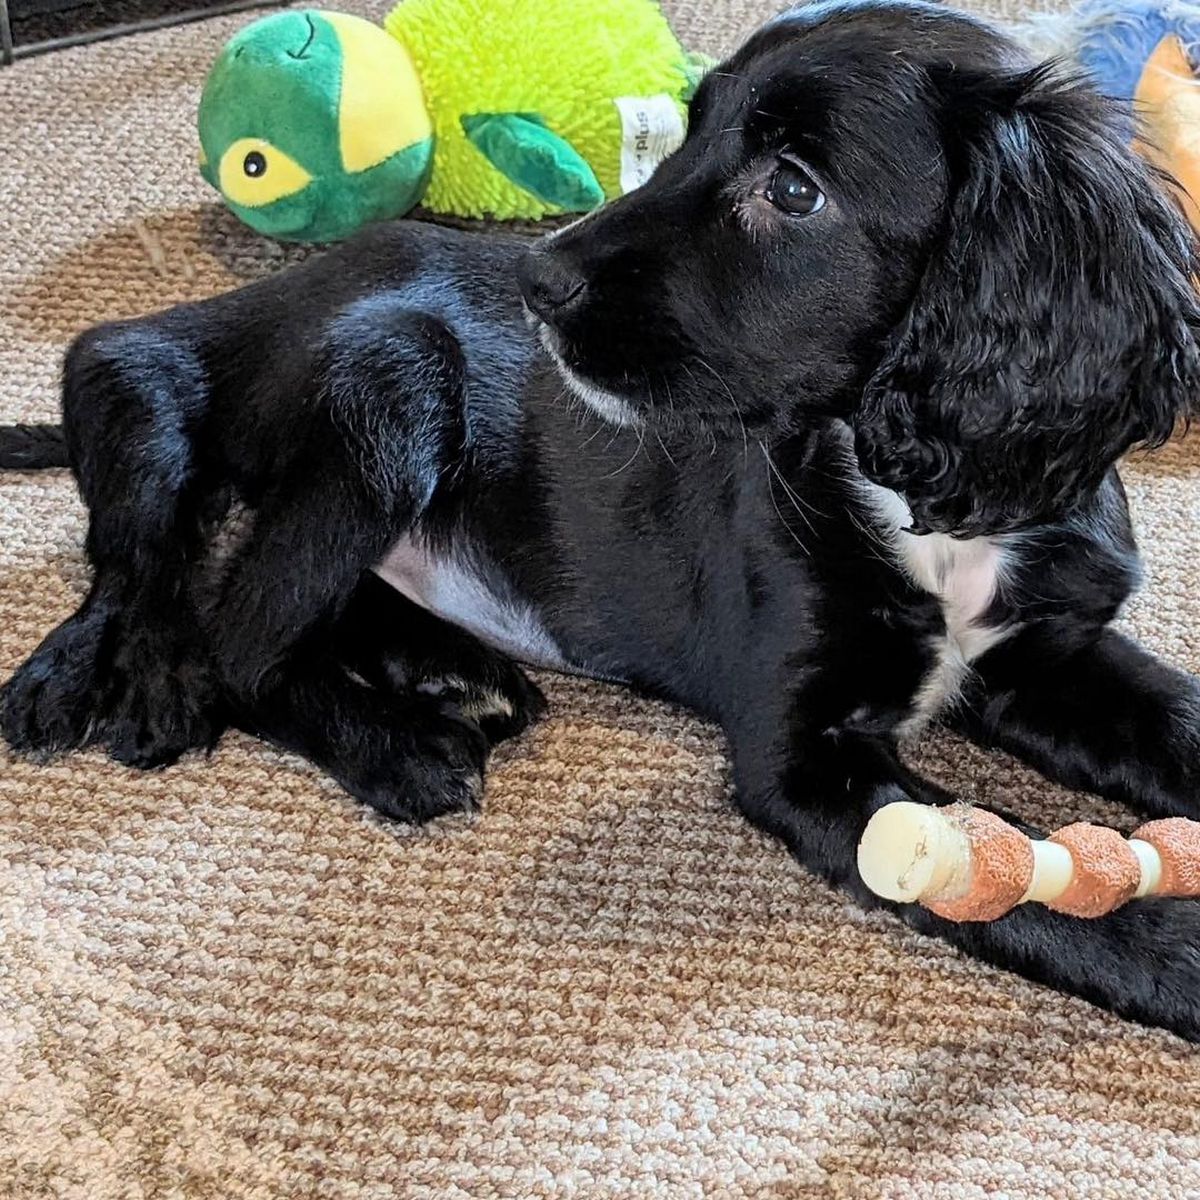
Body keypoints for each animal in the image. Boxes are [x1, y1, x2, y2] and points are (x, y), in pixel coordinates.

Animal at [2, 0, 1200, 1036]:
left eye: (793, 189)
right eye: (685, 128)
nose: (541, 281)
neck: (921, 512)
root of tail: (252, 304)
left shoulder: (1044, 652)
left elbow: (1174, 718)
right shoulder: (801, 753)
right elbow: (1016, 877)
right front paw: (1176, 948)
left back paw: (443, 668)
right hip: (396, 377)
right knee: (224, 631)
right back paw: (386, 742)